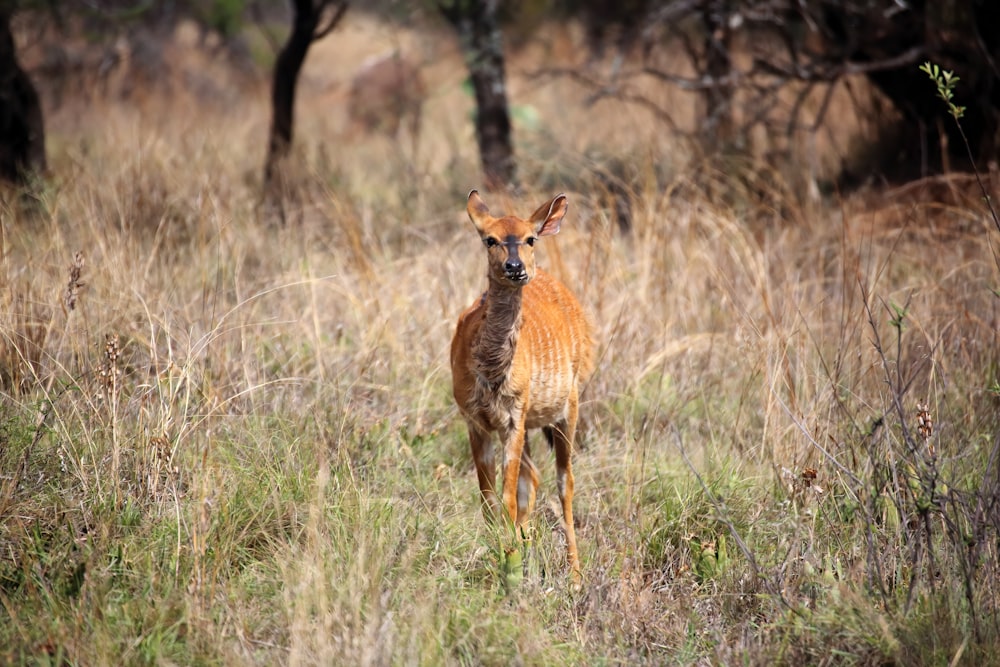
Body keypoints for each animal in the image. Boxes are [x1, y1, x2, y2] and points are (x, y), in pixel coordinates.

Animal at [448, 190, 592, 580]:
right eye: (490, 239)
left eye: (530, 239)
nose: (515, 267)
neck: (491, 372)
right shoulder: (477, 420)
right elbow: (488, 496)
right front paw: (502, 555)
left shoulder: (513, 416)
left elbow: (507, 495)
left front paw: (507, 558)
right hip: (530, 423)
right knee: (535, 476)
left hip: (568, 406)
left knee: (564, 481)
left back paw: (575, 577)